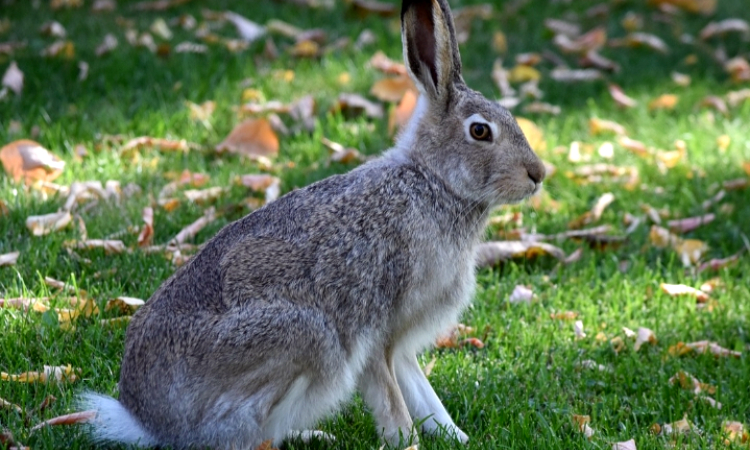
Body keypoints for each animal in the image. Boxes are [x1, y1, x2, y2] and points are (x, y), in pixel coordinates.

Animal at [81, 0, 548, 446]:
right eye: (480, 132)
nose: (538, 174)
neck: (434, 182)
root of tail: (148, 422)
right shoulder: (375, 330)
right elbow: (391, 399)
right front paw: (406, 441)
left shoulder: (401, 345)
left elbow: (422, 393)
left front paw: (455, 436)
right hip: (306, 337)